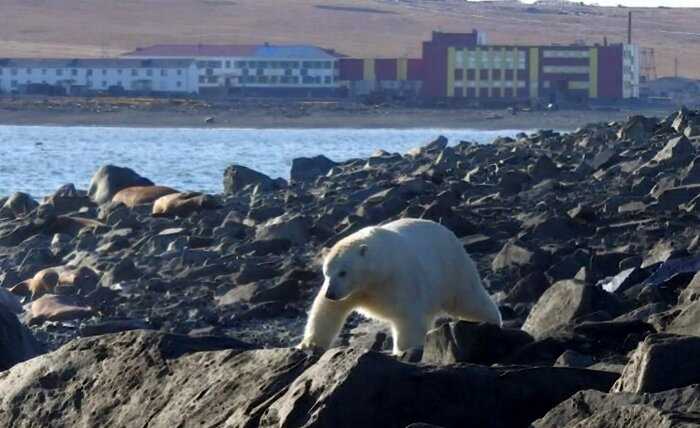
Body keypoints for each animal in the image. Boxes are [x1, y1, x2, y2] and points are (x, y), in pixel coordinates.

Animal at [298, 217, 500, 354]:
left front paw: (404, 351)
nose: (330, 293)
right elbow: (328, 310)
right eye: (326, 272)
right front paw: (309, 345)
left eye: (343, 272)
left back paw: (491, 322)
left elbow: (407, 317)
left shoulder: (399, 280)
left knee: (469, 299)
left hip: (452, 271)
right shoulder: (353, 290)